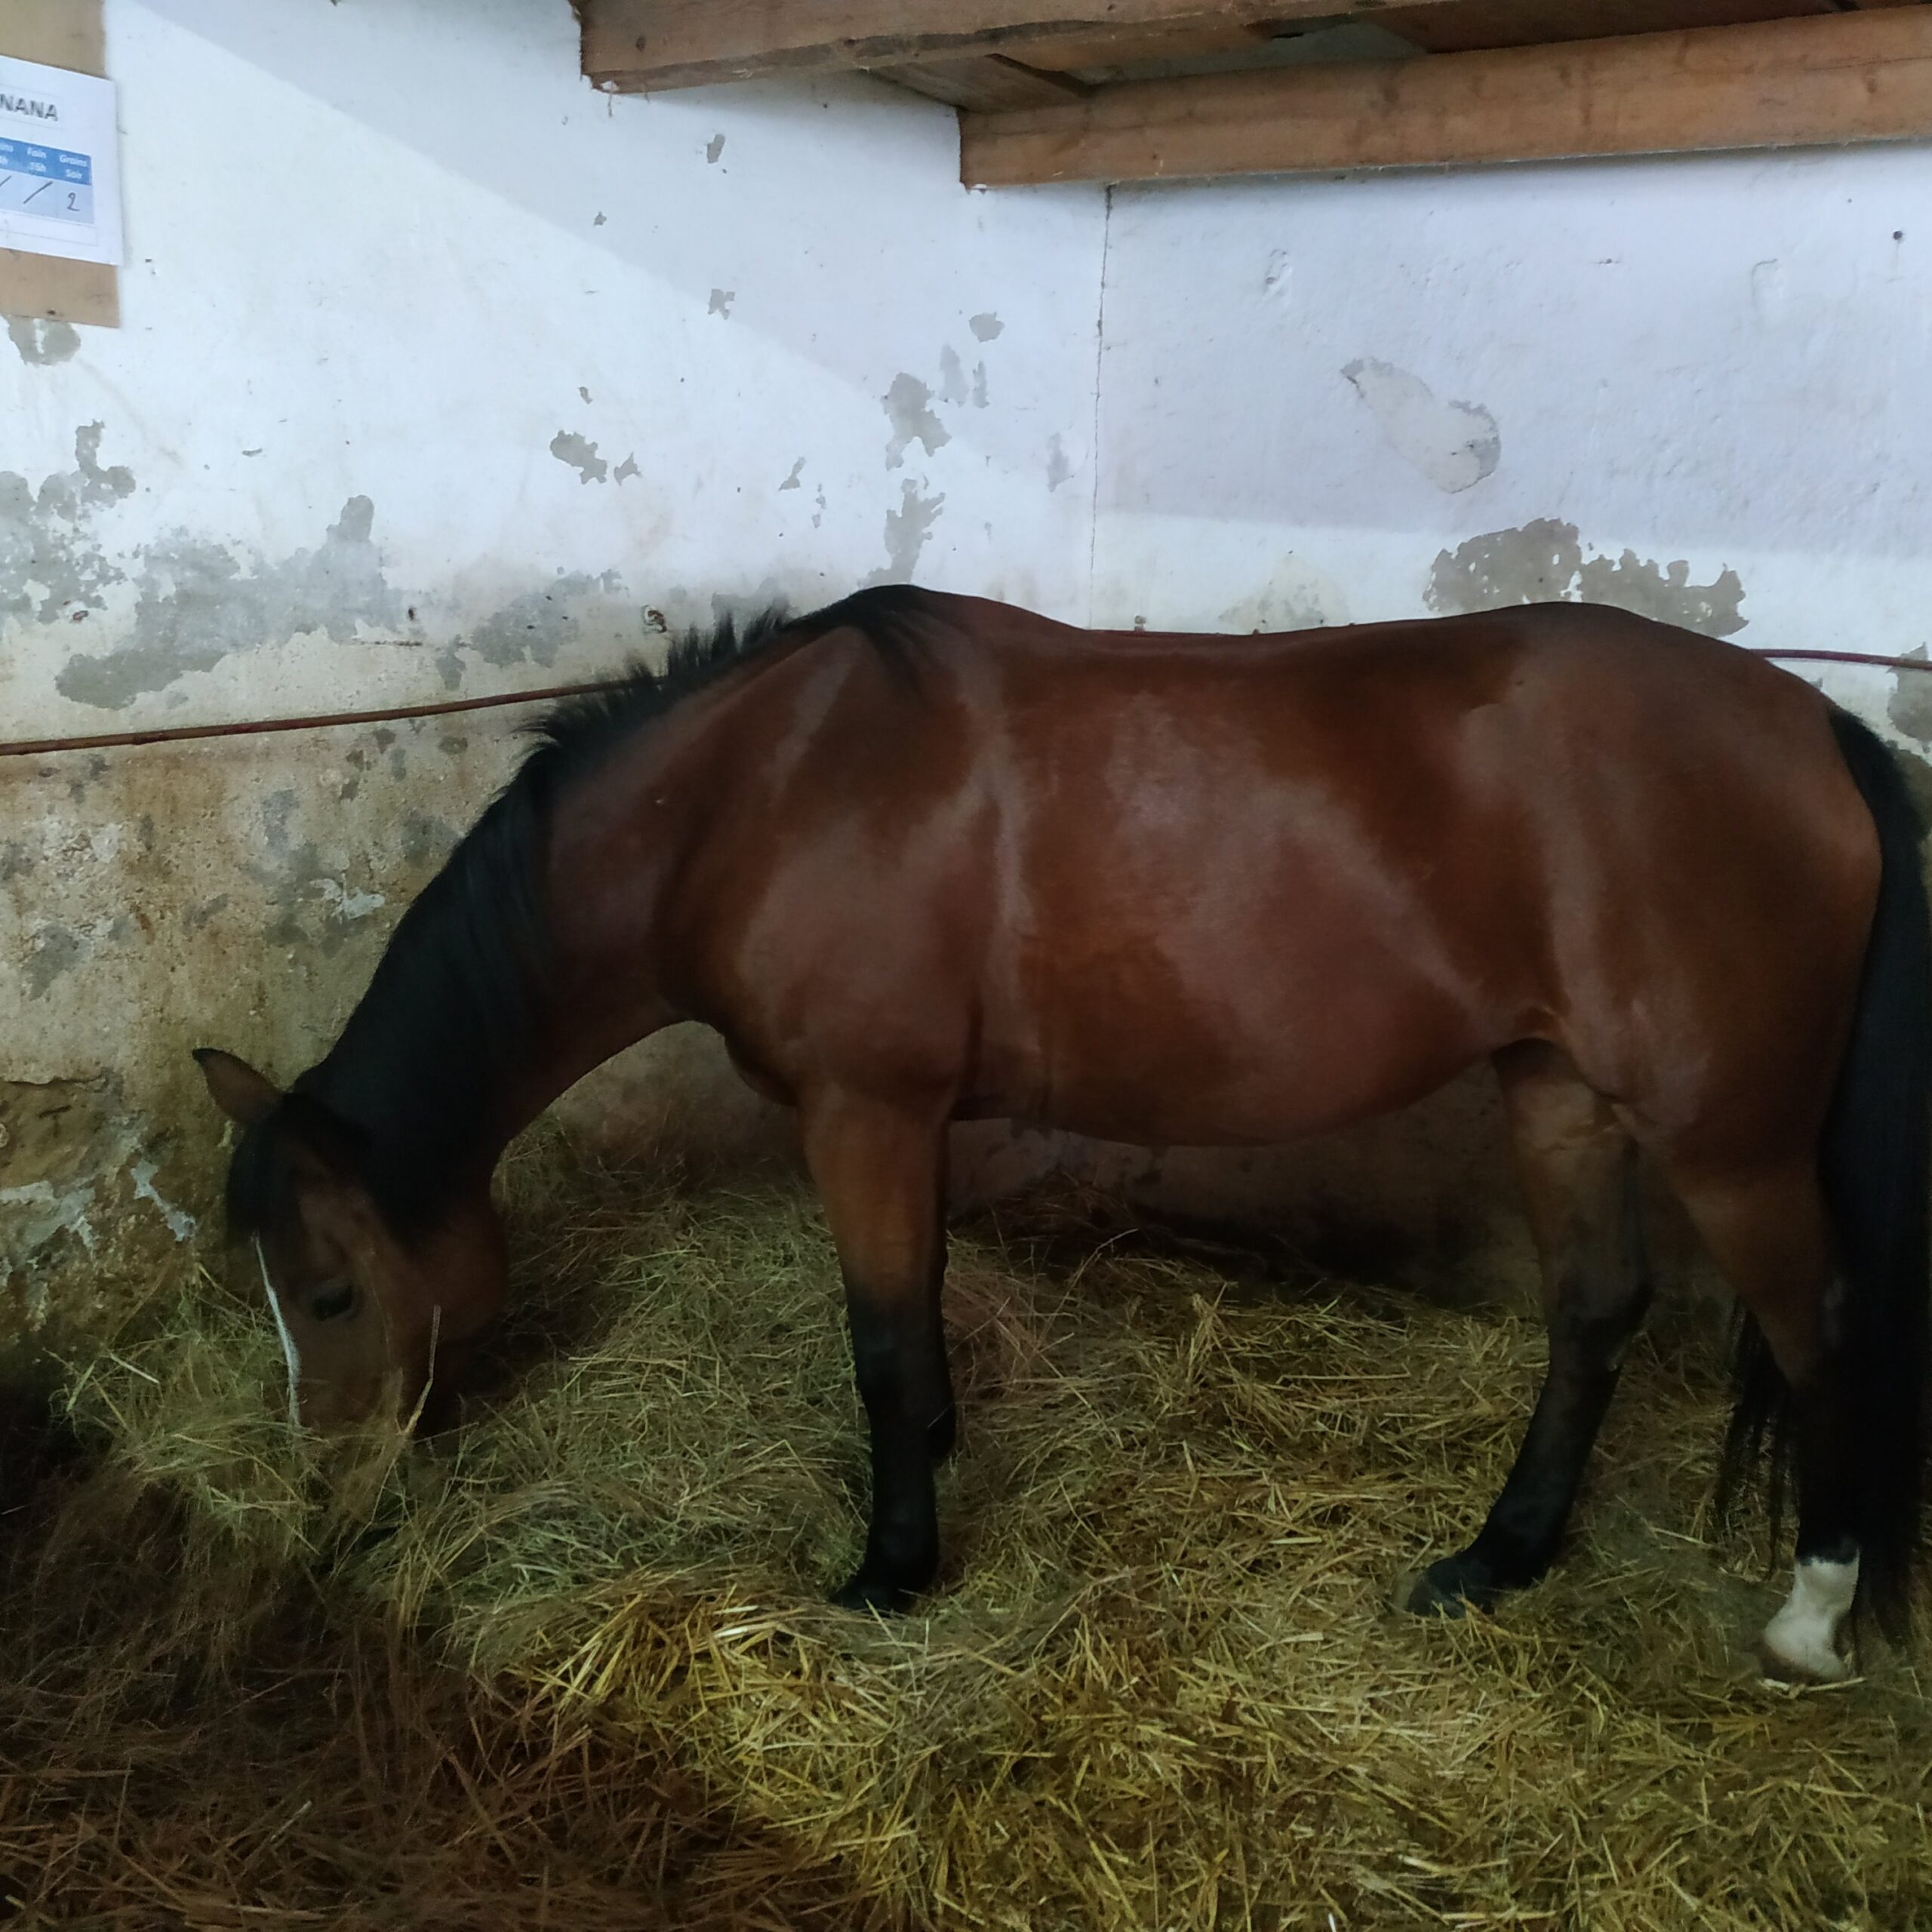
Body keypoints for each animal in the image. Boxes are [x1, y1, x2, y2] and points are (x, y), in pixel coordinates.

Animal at [194, 585, 1930, 1683]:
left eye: (330, 1289)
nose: (325, 1500)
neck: (759, 792)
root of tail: (1814, 725)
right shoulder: (904, 1126)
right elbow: (920, 1318)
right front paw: (937, 1468)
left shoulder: (865, 1113)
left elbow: (881, 1338)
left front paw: (892, 1567)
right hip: (1556, 1090)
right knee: (1592, 1314)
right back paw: (1495, 1560)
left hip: (1728, 1142)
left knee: (1828, 1328)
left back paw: (1809, 1616)